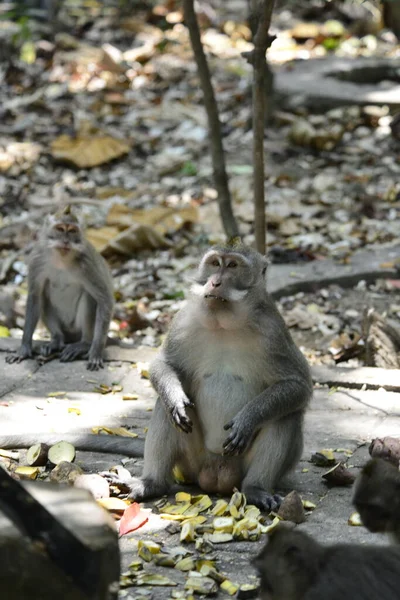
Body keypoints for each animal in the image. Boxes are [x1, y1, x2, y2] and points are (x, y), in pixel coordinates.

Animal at [5, 205, 114, 370]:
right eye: (60, 229)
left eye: (73, 231)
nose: (66, 241)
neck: (62, 260)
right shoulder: (37, 259)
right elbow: (35, 295)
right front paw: (24, 348)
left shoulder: (87, 264)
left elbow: (105, 299)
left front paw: (95, 352)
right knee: (43, 295)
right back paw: (56, 341)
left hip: (77, 329)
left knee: (90, 296)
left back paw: (84, 344)